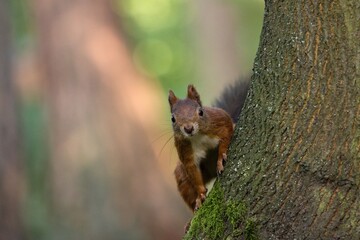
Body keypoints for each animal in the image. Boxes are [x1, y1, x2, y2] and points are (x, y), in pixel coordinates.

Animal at [168, 81, 248, 212]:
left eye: (201, 112)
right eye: (172, 119)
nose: (188, 128)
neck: (197, 136)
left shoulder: (220, 120)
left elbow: (226, 135)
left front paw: (220, 159)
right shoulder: (185, 151)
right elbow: (193, 172)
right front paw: (201, 194)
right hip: (183, 176)